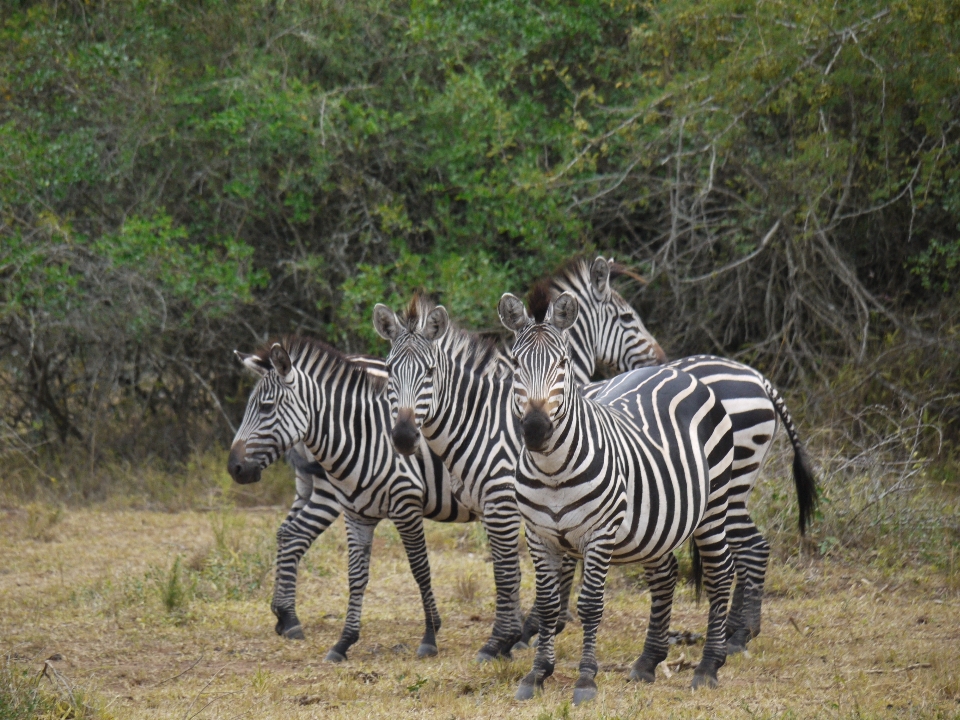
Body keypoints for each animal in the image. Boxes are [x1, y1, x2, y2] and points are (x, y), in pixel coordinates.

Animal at [230, 338, 536, 664]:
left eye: (266, 407)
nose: (234, 468)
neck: (361, 435)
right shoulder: (357, 512)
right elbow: (357, 575)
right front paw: (344, 642)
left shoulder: (406, 504)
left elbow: (421, 570)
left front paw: (430, 636)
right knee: (291, 533)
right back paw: (287, 617)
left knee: (291, 533)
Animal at [498, 286, 740, 704]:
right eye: (515, 364)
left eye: (563, 363)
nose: (535, 429)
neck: (552, 470)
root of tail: (674, 370)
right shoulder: (538, 535)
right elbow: (547, 606)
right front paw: (537, 674)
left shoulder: (600, 533)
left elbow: (591, 606)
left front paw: (585, 680)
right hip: (658, 524)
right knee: (665, 575)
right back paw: (647, 662)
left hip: (715, 505)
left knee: (720, 573)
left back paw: (708, 667)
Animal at [544, 255, 812, 652]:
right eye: (628, 318)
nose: (659, 357)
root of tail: (760, 379)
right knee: (747, 550)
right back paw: (735, 630)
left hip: (728, 486)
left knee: (751, 549)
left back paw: (738, 634)